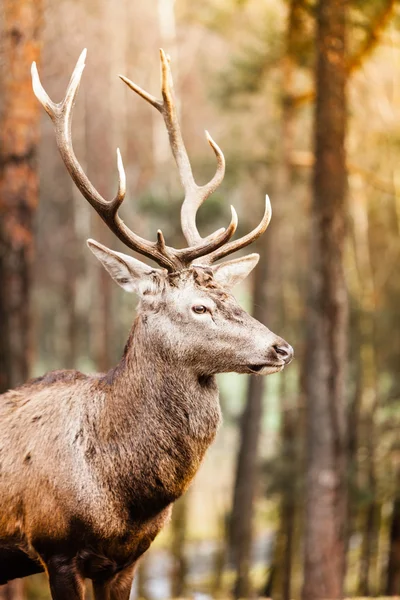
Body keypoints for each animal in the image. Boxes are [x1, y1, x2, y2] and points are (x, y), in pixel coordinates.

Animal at [0, 51, 294, 600]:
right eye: (199, 307)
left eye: (231, 295)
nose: (282, 348)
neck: (123, 496)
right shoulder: (56, 548)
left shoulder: (129, 559)